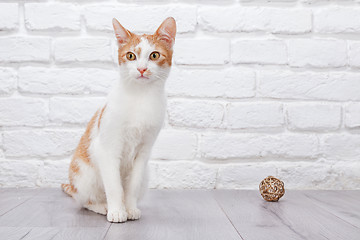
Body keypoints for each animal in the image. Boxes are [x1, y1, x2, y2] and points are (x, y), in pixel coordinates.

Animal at [61, 17, 176, 223]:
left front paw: (129, 208)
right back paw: (101, 206)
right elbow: (114, 186)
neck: (140, 96)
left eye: (154, 55)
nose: (141, 69)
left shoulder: (144, 152)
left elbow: (132, 186)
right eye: (130, 56)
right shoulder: (107, 149)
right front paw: (116, 211)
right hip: (84, 174)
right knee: (84, 200)